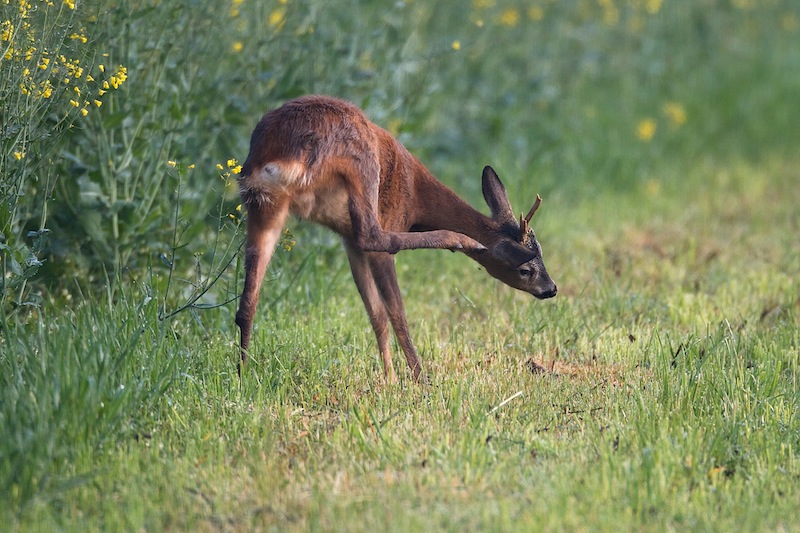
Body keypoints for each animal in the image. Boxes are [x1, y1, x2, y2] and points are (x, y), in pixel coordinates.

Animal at [234, 93, 552, 380]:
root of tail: (279, 155)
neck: (416, 199)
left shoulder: (347, 240)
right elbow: (395, 311)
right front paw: (413, 377)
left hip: (264, 206)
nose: (551, 289)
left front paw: (389, 378)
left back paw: (243, 376)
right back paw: (459, 240)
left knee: (247, 300)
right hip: (361, 165)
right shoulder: (385, 219)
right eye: (526, 269)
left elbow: (375, 312)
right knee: (374, 236)